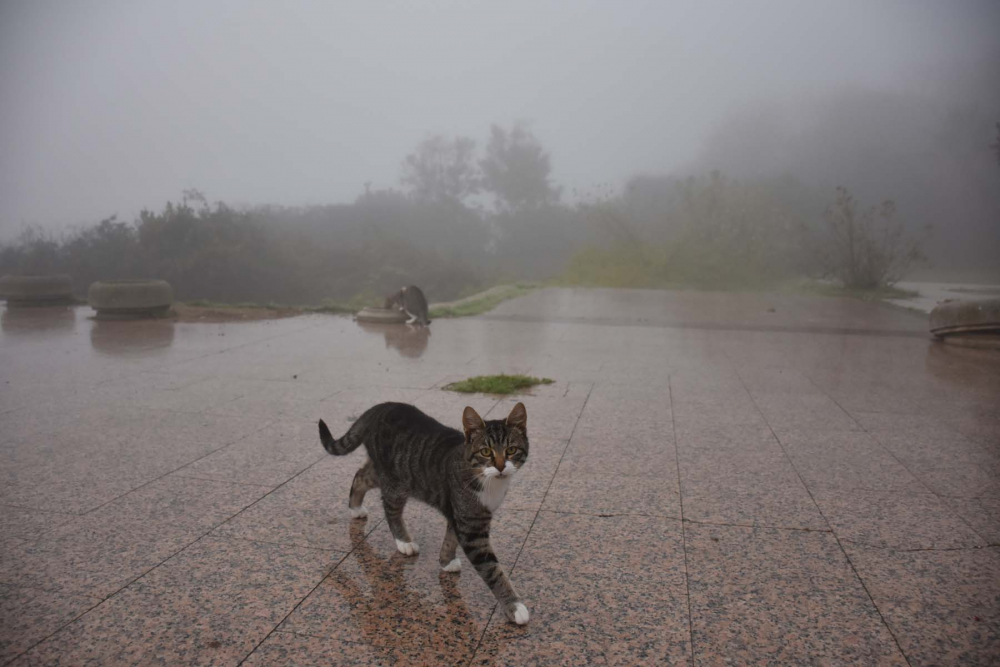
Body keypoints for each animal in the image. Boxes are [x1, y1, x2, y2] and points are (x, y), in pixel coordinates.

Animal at [318, 402, 532, 628]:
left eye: (511, 450)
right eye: (485, 451)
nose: (500, 467)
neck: (487, 481)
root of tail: (378, 408)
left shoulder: (458, 514)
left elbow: (451, 537)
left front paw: (445, 560)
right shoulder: (471, 528)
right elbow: (493, 570)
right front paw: (515, 607)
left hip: (387, 474)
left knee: (361, 476)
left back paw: (355, 507)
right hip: (395, 482)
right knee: (390, 509)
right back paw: (403, 542)